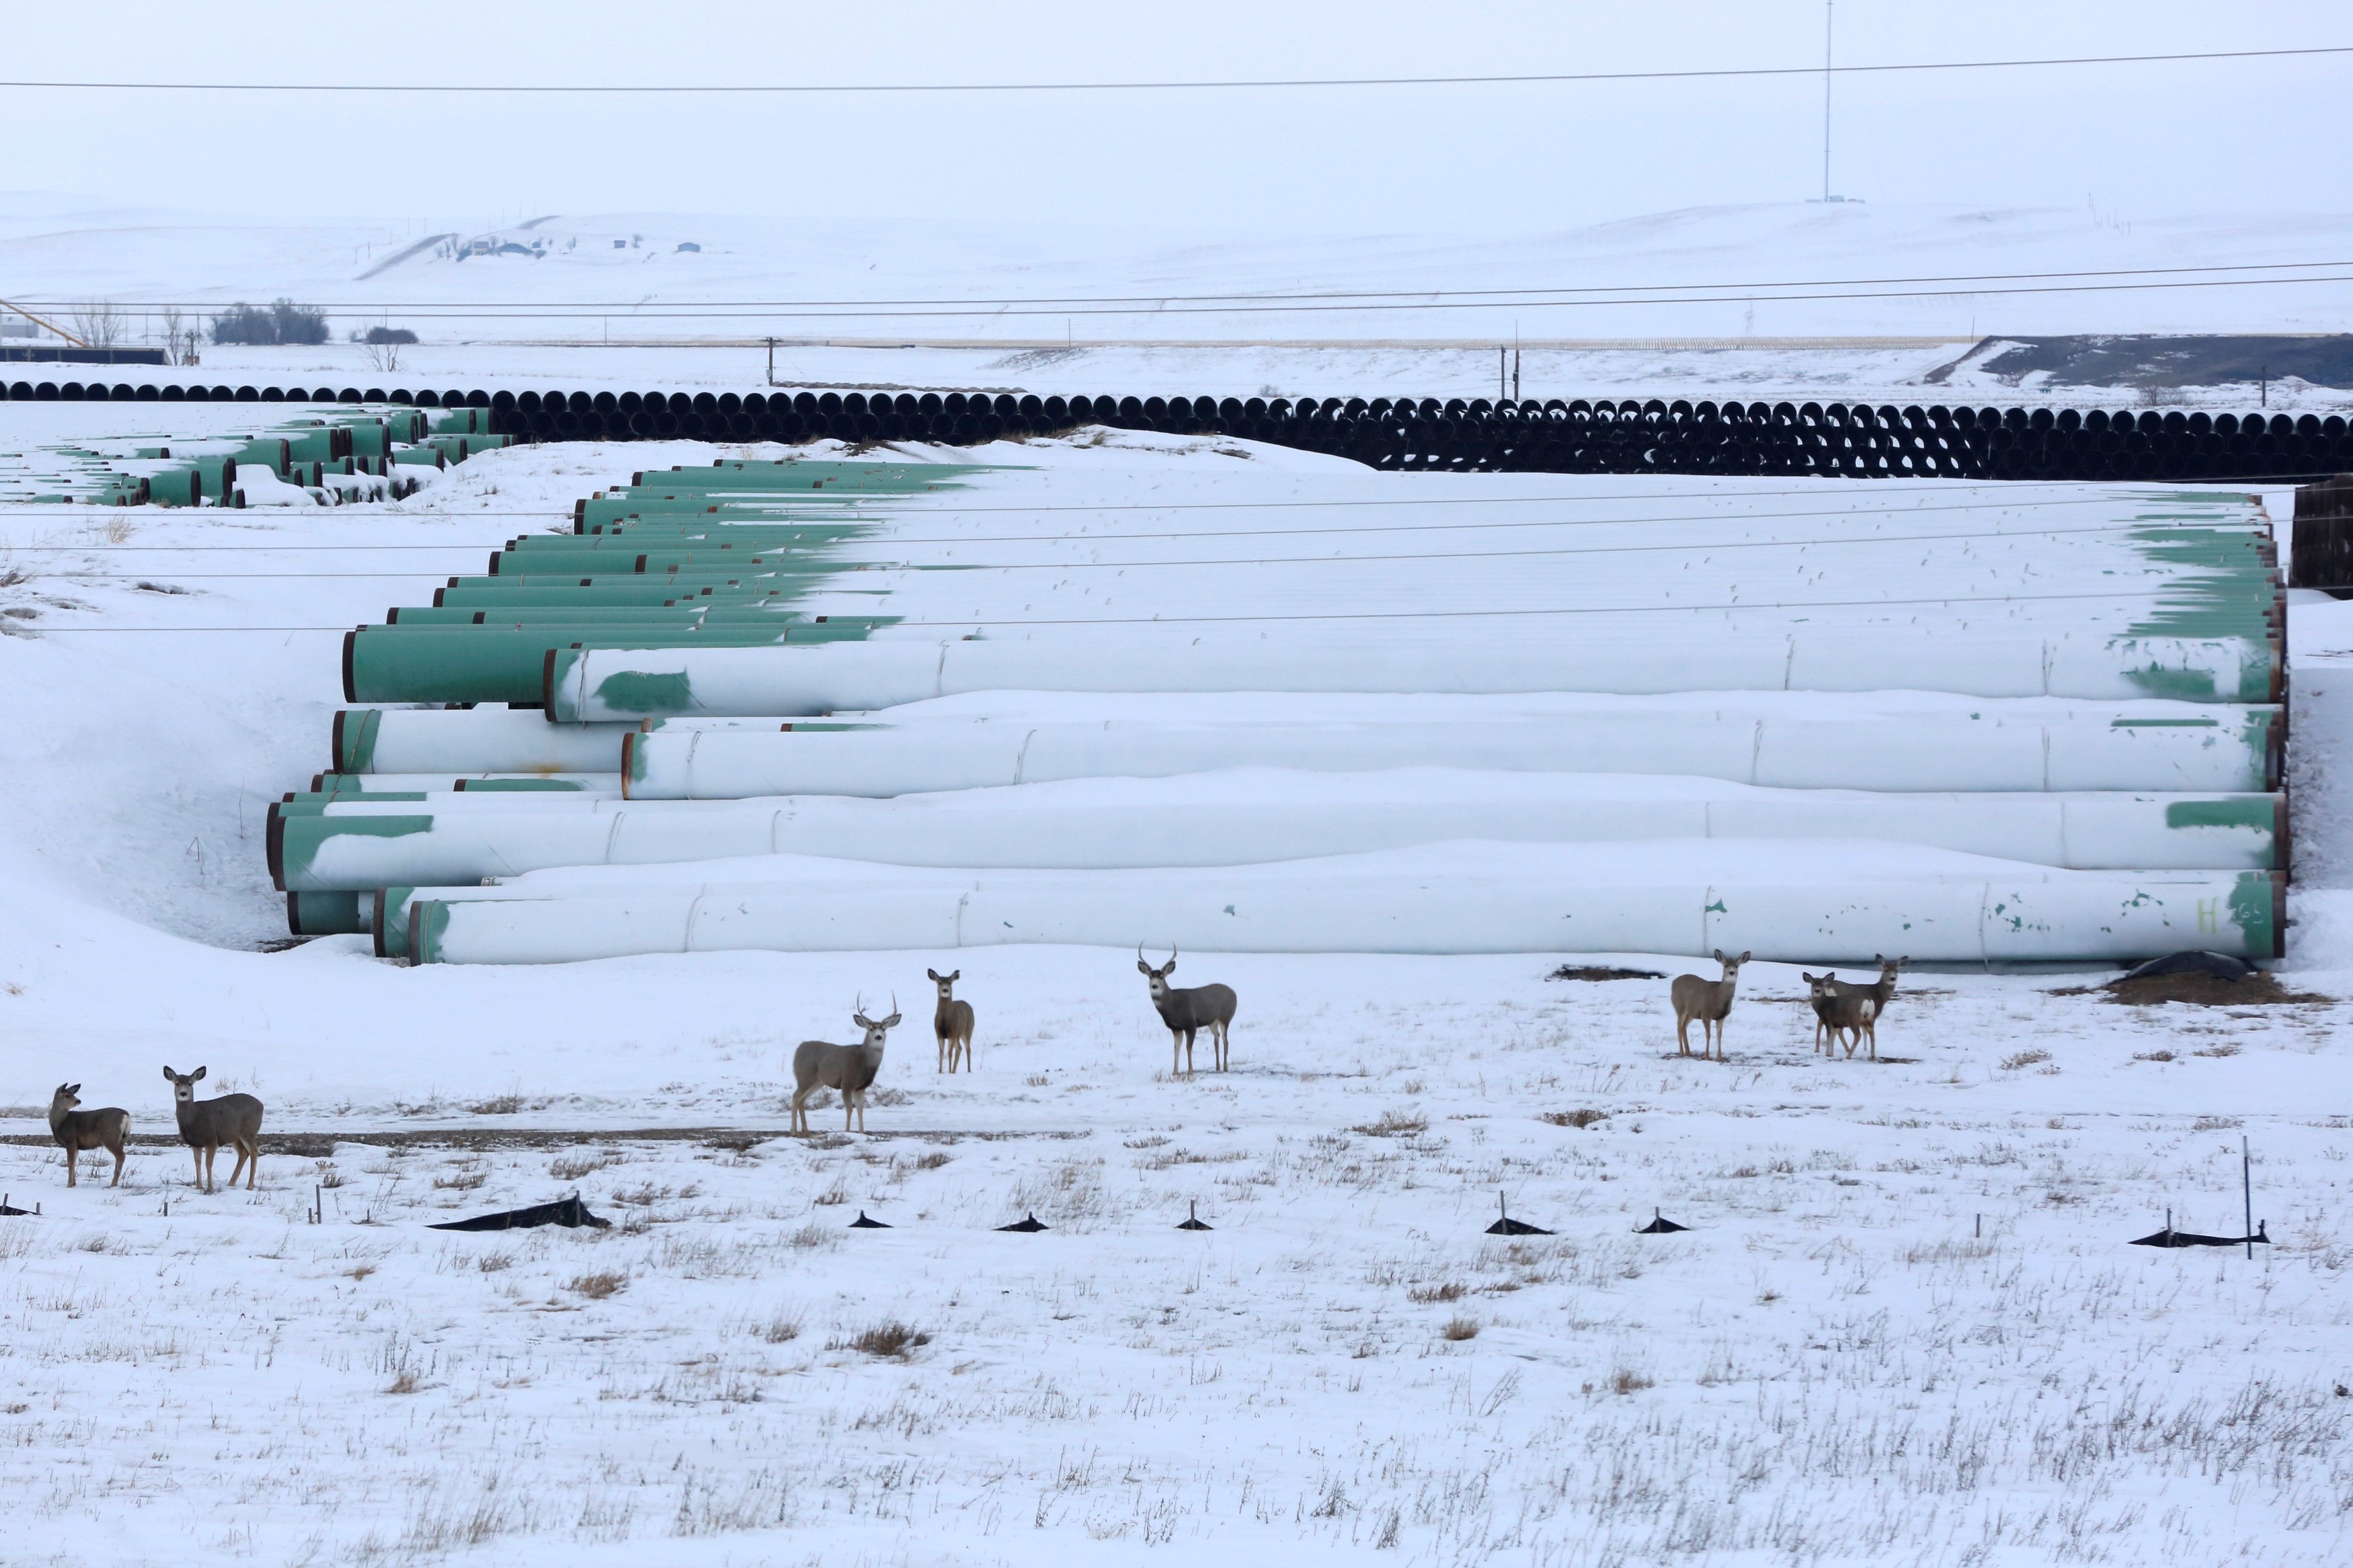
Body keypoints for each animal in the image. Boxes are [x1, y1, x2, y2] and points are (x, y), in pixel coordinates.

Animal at [47, 1090, 128, 1189]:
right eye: (68, 1095)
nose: (78, 1101)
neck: (59, 1123)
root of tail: (126, 1116)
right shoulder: (76, 1145)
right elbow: (74, 1161)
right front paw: (74, 1183)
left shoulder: (70, 1140)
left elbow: (70, 1161)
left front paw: (69, 1184)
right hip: (122, 1139)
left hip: (110, 1137)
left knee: (121, 1155)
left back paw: (113, 1184)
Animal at [162, 1067, 264, 1189]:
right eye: (177, 1083)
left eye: (190, 1083)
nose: (183, 1093)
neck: (193, 1118)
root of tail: (261, 1105)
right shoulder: (195, 1144)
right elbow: (198, 1163)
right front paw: (199, 1187)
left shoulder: (211, 1139)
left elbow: (208, 1164)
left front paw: (210, 1188)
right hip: (233, 1136)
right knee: (244, 1153)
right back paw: (231, 1183)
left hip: (249, 1131)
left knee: (254, 1151)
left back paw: (250, 1186)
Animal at [791, 1001, 899, 1132]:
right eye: (871, 1028)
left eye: (883, 1028)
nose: (878, 1037)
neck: (863, 1060)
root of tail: (798, 1049)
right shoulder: (846, 1082)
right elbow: (850, 1108)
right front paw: (847, 1131)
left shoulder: (860, 1087)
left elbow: (860, 1110)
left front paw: (862, 1132)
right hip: (805, 1076)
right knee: (795, 1097)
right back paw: (794, 1131)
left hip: (817, 1082)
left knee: (802, 1100)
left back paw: (806, 1131)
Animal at [1134, 945, 1242, 1081]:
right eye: (1150, 977)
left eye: (1162, 977)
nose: (1154, 986)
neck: (1173, 1005)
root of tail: (1234, 993)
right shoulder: (1176, 1028)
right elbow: (1176, 1048)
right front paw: (1175, 1072)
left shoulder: (1191, 1023)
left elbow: (1188, 1047)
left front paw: (1190, 1071)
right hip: (1212, 1021)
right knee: (1216, 1038)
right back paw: (1217, 1067)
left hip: (1225, 1017)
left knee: (1225, 1039)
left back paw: (1225, 1067)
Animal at [1675, 950, 1751, 1062]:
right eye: (1726, 965)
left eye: (1737, 966)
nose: (1731, 973)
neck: (1718, 997)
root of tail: (1673, 982)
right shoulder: (1705, 1014)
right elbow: (1708, 1035)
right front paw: (1707, 1056)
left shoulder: (1721, 1017)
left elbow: (1719, 1036)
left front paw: (1720, 1058)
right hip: (1680, 1007)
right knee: (1679, 1026)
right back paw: (1681, 1052)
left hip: (1691, 1012)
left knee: (1684, 1026)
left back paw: (1688, 1052)